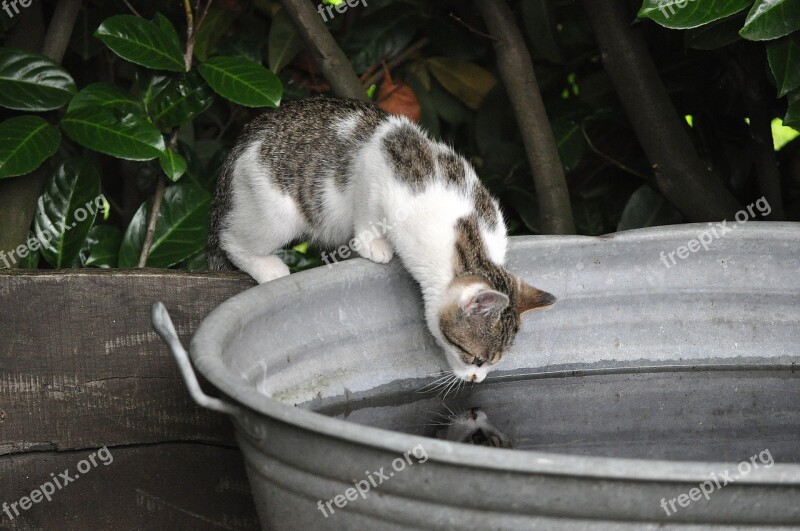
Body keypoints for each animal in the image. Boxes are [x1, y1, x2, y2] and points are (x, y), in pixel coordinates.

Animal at [208, 96, 556, 382]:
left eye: (493, 363)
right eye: (474, 358)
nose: (476, 379)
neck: (465, 238)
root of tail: (253, 129)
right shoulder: (374, 167)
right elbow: (365, 207)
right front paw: (371, 244)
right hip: (275, 210)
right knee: (231, 238)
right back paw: (267, 267)